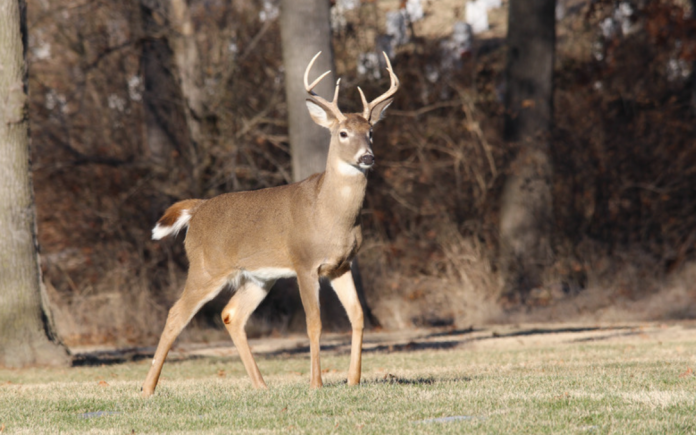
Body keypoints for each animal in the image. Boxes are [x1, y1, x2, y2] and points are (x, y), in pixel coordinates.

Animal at [141, 52, 399, 397]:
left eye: (371, 131)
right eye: (342, 133)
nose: (367, 157)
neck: (331, 216)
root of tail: (197, 210)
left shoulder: (342, 265)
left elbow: (357, 316)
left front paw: (353, 379)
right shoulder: (304, 263)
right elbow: (314, 323)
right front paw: (316, 383)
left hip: (258, 277)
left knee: (231, 314)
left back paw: (261, 385)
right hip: (206, 268)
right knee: (175, 314)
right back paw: (147, 389)